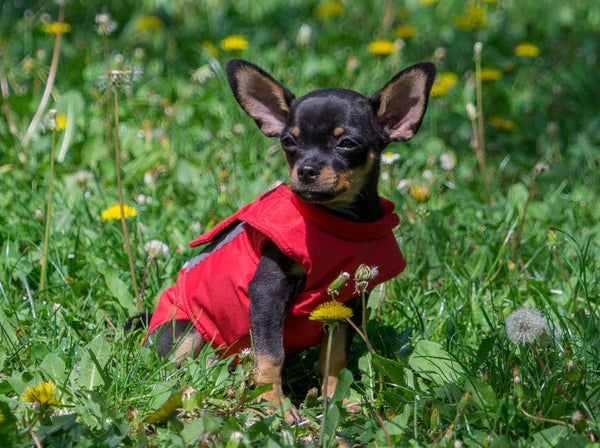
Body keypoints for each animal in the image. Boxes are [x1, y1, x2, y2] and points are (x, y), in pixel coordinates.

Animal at [143, 57, 434, 422]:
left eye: (347, 144)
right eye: (288, 142)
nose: (306, 170)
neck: (336, 222)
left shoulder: (347, 302)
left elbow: (334, 356)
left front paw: (335, 398)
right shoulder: (268, 291)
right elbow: (271, 355)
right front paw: (275, 405)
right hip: (189, 329)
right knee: (178, 369)